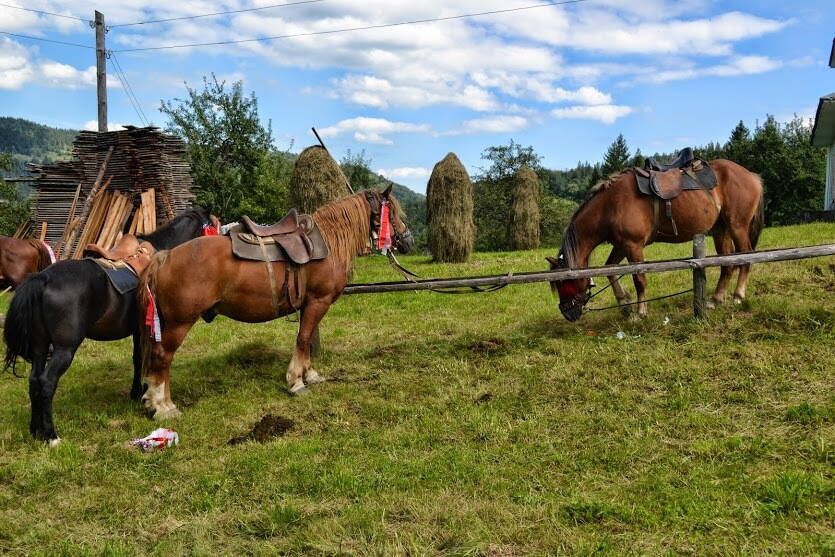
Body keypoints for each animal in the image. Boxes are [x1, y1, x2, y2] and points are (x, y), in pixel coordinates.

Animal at [4, 207, 218, 442]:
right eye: (212, 227)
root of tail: (43, 279)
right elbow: (145, 359)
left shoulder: (138, 331)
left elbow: (137, 359)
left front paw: (137, 393)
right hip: (64, 349)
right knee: (46, 382)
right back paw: (51, 436)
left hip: (40, 346)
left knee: (34, 380)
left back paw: (36, 431)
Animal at [137, 186, 413, 421]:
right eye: (392, 212)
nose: (408, 240)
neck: (328, 242)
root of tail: (164, 257)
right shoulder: (318, 301)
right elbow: (303, 338)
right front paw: (296, 381)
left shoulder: (308, 304)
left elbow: (306, 338)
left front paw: (309, 374)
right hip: (179, 323)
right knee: (163, 357)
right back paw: (163, 407)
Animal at [546, 159, 764, 321]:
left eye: (564, 282)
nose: (568, 313)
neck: (610, 205)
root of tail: (751, 175)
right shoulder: (621, 245)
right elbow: (610, 270)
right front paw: (624, 303)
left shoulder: (633, 246)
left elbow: (639, 279)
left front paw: (640, 312)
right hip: (721, 230)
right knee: (727, 264)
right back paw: (716, 299)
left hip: (737, 227)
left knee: (745, 258)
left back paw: (738, 296)